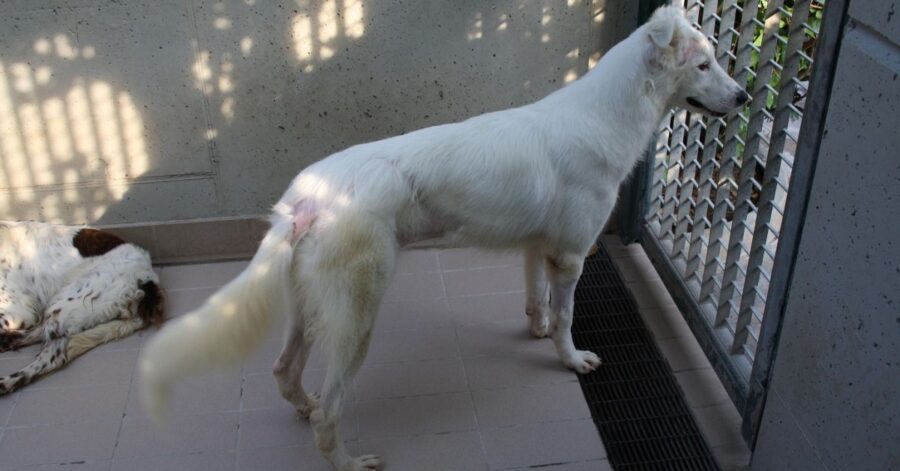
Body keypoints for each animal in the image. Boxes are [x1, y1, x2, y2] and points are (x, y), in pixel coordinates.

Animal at [0, 221, 164, 394]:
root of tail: (149, 278)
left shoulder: (19, 311)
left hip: (62, 305)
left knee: (52, 356)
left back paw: (6, 380)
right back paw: (8, 342)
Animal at [139, 5, 744, 470]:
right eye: (704, 64)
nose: (741, 97)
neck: (601, 116)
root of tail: (305, 200)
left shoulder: (538, 249)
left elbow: (537, 302)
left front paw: (535, 330)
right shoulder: (572, 256)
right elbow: (567, 318)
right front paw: (570, 360)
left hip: (308, 310)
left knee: (284, 373)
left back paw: (303, 405)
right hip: (356, 320)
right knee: (331, 413)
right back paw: (349, 461)